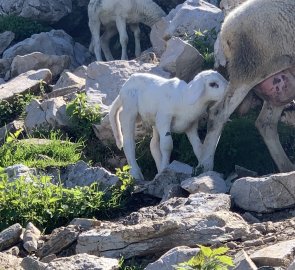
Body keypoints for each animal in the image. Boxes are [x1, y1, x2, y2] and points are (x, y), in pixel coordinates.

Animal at [198, 0, 295, 173]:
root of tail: (225, 28)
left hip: (281, 84)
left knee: (265, 123)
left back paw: (286, 166)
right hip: (250, 68)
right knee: (218, 113)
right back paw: (205, 165)